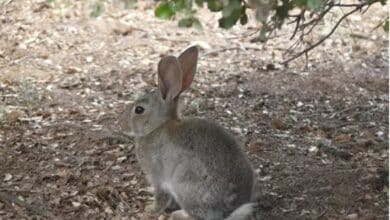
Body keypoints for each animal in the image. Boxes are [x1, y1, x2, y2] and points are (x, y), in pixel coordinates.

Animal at [121, 45, 256, 219]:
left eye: (139, 110)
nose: (121, 124)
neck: (158, 127)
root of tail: (227, 212)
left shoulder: (157, 176)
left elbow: (160, 197)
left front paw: (149, 210)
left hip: (184, 184)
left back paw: (178, 214)